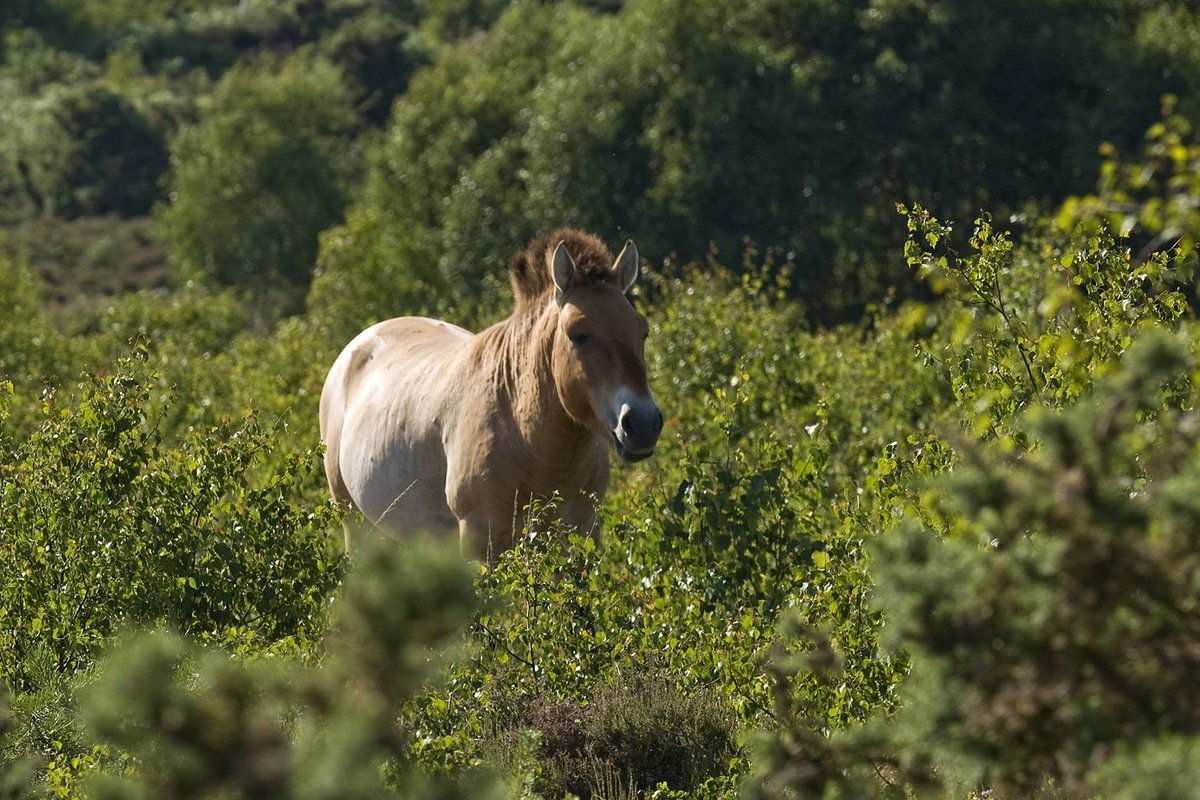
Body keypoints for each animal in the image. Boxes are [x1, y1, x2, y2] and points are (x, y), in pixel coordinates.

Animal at [318, 228, 664, 561]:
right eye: (578, 334)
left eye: (643, 331)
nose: (644, 423)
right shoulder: (481, 540)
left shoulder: (581, 534)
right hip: (353, 521)